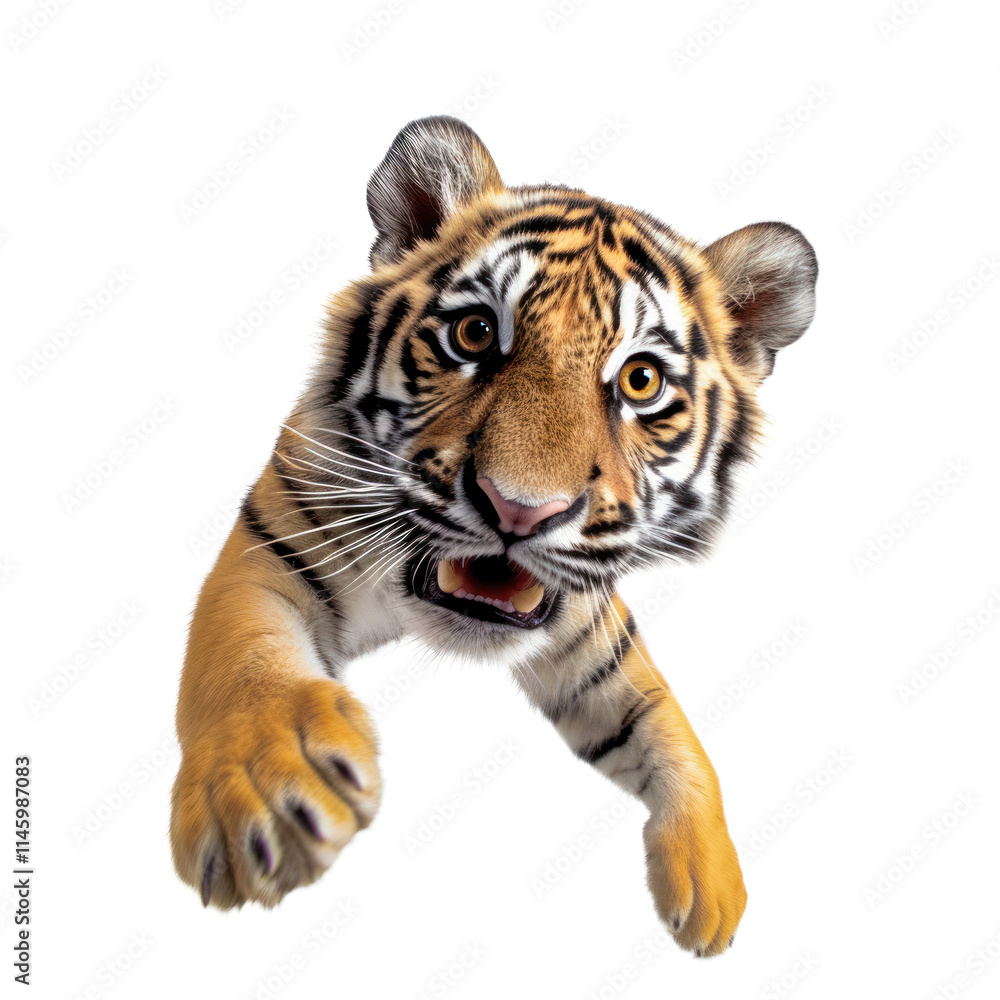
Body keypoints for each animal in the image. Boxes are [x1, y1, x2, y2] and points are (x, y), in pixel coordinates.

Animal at [170, 115, 817, 958]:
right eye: (475, 334)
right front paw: (265, 791)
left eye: (640, 381)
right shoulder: (272, 550)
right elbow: (245, 660)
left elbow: (672, 732)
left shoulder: (591, 637)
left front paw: (715, 887)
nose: (519, 511)